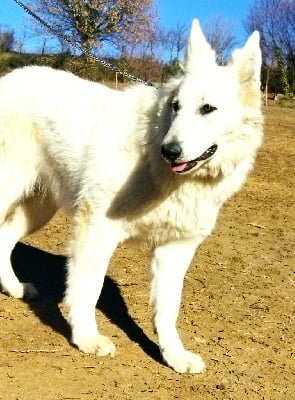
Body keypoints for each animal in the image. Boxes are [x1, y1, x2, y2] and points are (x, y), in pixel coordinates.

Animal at [0, 21, 264, 372]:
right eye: (176, 107)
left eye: (208, 109)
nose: (170, 151)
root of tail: (8, 79)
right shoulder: (96, 228)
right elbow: (88, 289)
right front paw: (86, 338)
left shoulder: (175, 250)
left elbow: (168, 310)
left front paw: (174, 356)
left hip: (38, 208)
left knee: (3, 239)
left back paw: (15, 288)